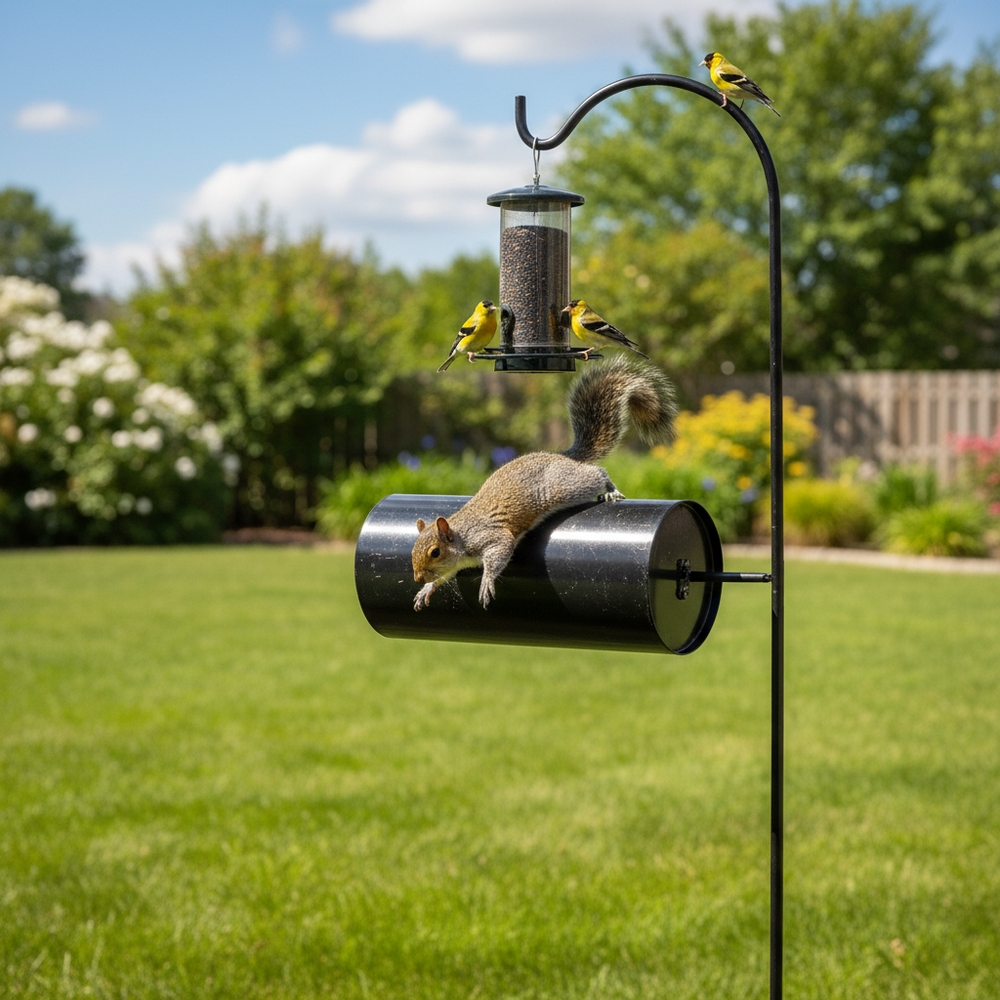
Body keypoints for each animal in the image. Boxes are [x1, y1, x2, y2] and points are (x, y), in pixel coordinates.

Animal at [411, 355, 677, 611]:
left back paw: (611, 490)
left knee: (597, 473)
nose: (417, 578)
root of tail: (562, 457)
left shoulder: (490, 537)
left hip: (566, 487)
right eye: (413, 549)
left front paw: (486, 581)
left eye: (435, 552)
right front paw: (427, 589)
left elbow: (499, 552)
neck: (461, 536)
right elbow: (444, 577)